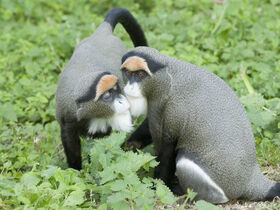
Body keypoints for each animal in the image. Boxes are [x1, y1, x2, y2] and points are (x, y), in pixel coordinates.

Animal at [54, 8, 148, 171]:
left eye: (117, 90)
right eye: (107, 95)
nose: (122, 100)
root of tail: (102, 33)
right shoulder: (67, 119)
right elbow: (71, 146)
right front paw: (76, 171)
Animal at [120, 46, 280, 203]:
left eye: (140, 74)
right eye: (128, 73)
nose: (129, 88)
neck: (167, 78)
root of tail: (251, 180)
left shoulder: (175, 112)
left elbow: (167, 152)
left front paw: (156, 188)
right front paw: (126, 147)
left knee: (185, 160)